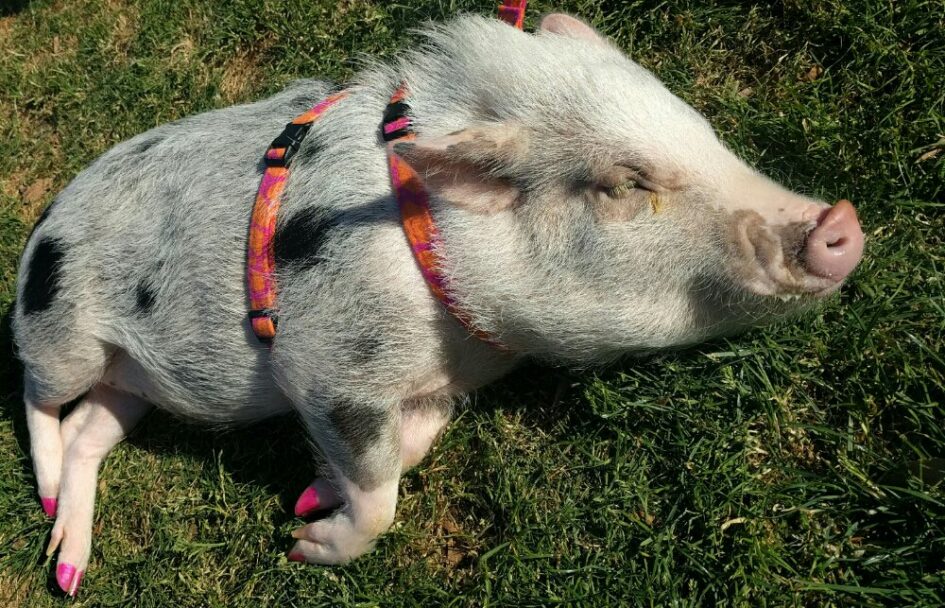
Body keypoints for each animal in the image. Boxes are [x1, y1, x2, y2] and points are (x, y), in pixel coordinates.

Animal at [11, 11, 864, 596]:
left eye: (704, 130)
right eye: (623, 184)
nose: (841, 223)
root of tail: (44, 223)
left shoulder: (432, 385)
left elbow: (409, 446)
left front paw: (312, 490)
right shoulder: (327, 367)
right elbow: (379, 494)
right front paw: (301, 543)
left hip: (134, 385)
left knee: (94, 429)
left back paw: (67, 565)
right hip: (60, 336)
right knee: (38, 397)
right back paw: (47, 498)